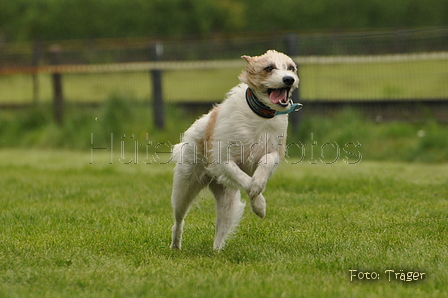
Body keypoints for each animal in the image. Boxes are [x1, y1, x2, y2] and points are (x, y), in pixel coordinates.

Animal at [170, 50, 302, 250]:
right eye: (269, 68)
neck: (259, 115)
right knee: (179, 219)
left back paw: (216, 251)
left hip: (228, 201)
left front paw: (258, 194)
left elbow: (264, 164)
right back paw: (176, 245)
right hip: (184, 187)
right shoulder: (224, 161)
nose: (289, 79)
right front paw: (259, 202)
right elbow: (245, 179)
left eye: (291, 68)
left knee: (220, 231)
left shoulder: (273, 152)